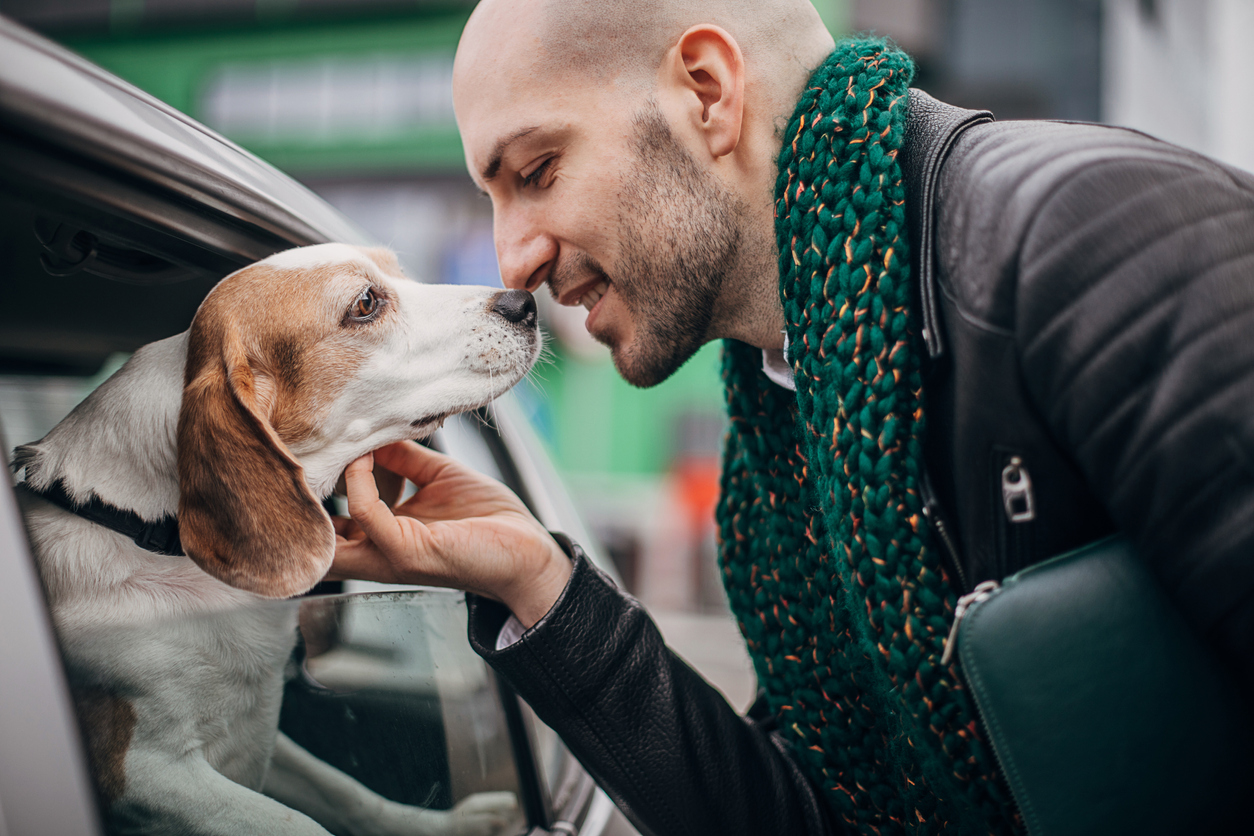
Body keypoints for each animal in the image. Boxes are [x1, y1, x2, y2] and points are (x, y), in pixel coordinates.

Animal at [11, 243, 539, 836]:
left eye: (398, 271)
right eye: (365, 303)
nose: (525, 303)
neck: (151, 535)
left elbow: (346, 792)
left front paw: (439, 825)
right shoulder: (142, 772)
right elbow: (300, 824)